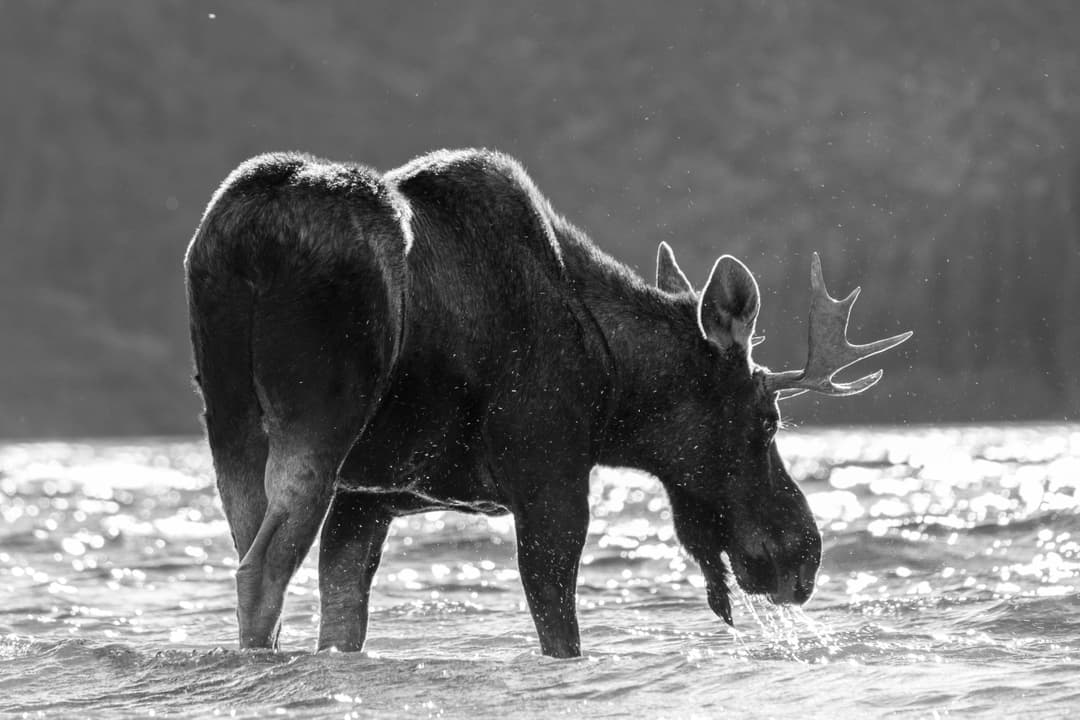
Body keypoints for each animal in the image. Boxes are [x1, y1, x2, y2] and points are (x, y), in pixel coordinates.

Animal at [184, 148, 911, 658]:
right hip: (321, 416)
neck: (613, 383)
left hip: (230, 424)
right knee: (260, 575)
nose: (803, 555)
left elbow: (342, 623)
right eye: (768, 421)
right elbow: (560, 634)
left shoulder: (373, 500)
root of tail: (250, 238)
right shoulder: (551, 484)